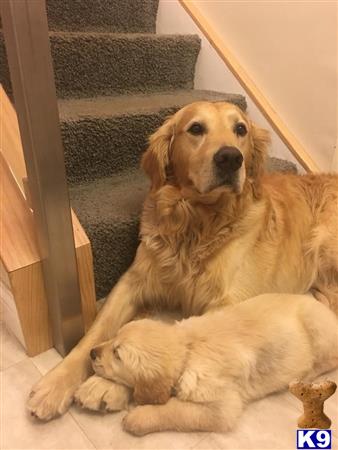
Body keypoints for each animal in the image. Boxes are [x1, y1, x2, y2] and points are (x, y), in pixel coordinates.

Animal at [28, 100, 338, 420]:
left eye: (241, 129)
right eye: (196, 128)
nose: (231, 158)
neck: (196, 223)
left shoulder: (227, 301)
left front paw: (105, 384)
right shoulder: (134, 280)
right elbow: (93, 333)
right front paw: (55, 384)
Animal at [90, 294, 338, 434]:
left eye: (117, 355)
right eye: (114, 338)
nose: (91, 353)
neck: (188, 348)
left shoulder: (222, 407)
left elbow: (176, 410)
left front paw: (138, 418)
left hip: (318, 329)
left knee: (329, 361)